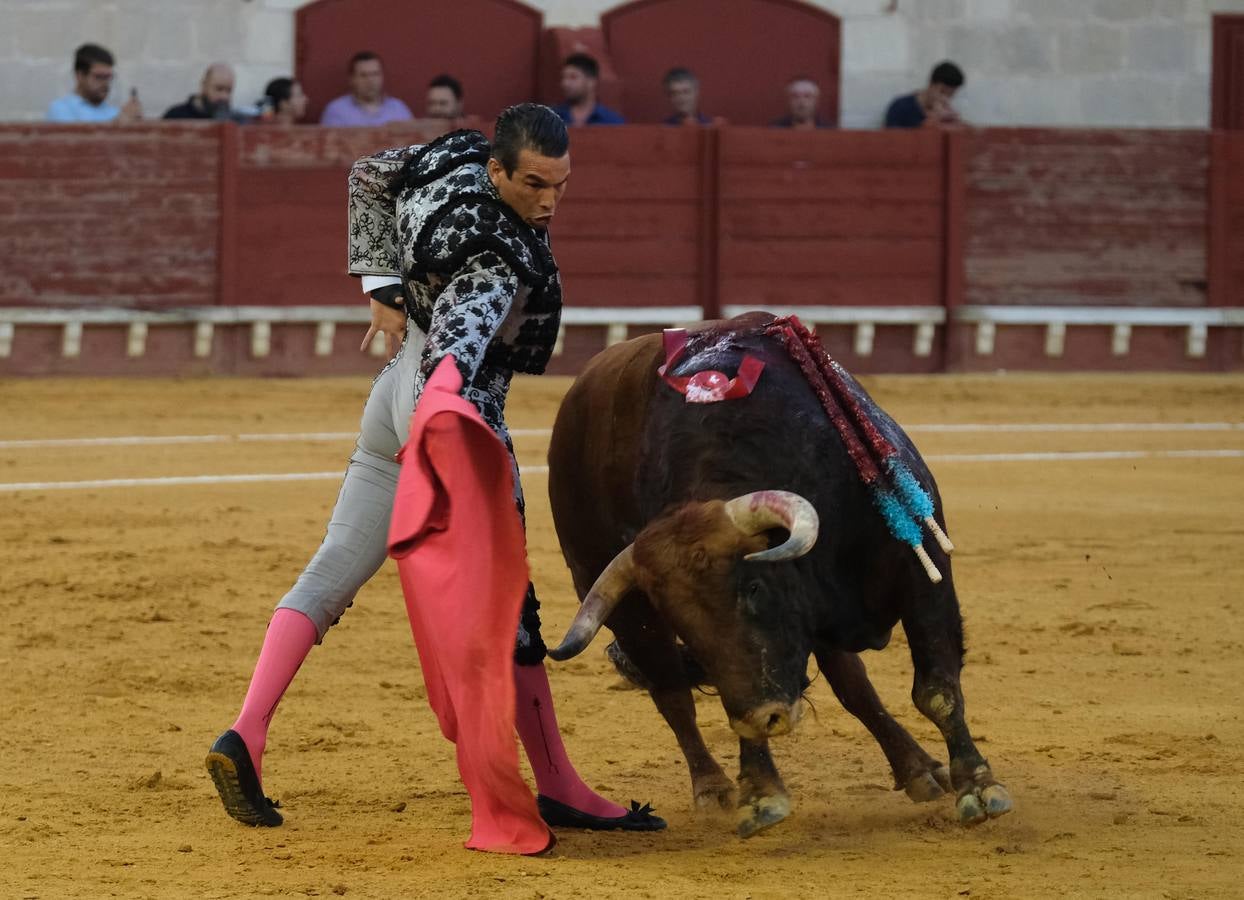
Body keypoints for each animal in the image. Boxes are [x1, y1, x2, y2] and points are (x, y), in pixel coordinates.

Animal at [547, 314, 1010, 836]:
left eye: (754, 586)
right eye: (684, 622)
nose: (765, 717)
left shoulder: (922, 571)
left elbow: (936, 689)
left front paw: (978, 786)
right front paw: (761, 792)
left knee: (855, 687)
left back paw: (919, 770)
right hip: (618, 604)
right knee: (675, 697)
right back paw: (714, 789)